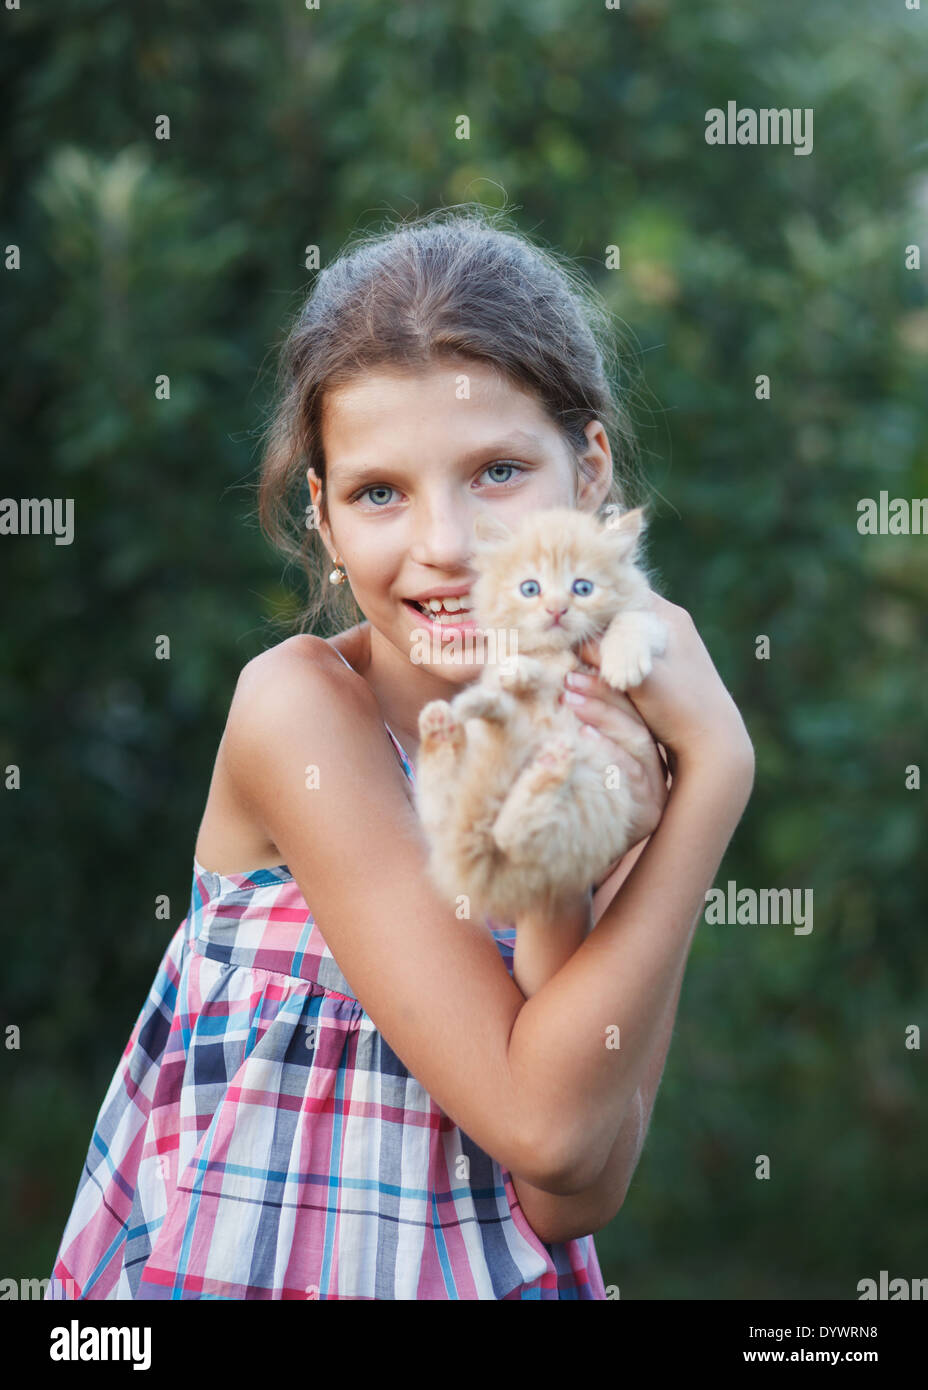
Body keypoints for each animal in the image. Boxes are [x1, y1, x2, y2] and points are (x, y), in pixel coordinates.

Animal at [413, 505, 666, 928]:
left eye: (583, 588)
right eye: (530, 588)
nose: (557, 609)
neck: (556, 653)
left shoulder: (654, 624)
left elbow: (632, 619)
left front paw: (622, 661)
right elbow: (516, 661)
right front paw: (518, 670)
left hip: (594, 786)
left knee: (503, 835)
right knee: (454, 811)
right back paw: (449, 725)